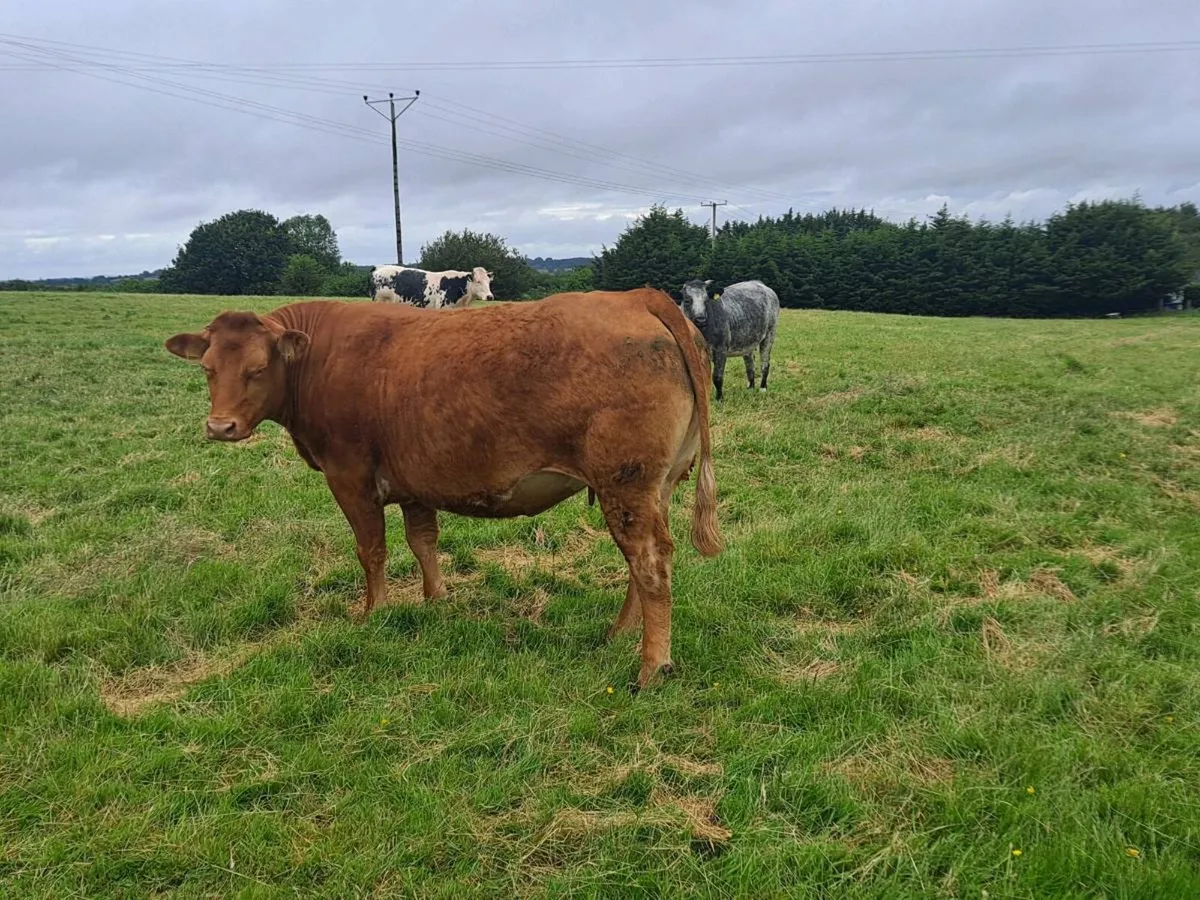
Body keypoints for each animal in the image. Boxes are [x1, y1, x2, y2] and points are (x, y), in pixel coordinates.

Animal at [164, 288, 723, 690]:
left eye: (258, 369)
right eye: (208, 369)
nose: (220, 427)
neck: (318, 359)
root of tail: (636, 296)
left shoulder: (349, 477)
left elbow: (372, 550)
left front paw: (374, 613)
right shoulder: (414, 480)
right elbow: (422, 542)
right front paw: (436, 601)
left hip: (624, 483)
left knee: (648, 561)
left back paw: (650, 666)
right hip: (655, 485)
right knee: (642, 561)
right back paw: (618, 633)